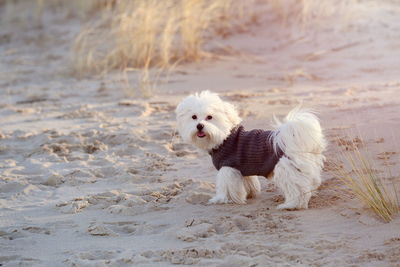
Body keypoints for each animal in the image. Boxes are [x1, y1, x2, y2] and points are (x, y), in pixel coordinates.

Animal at [177, 91, 326, 210]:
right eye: (194, 117)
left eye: (209, 117)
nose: (199, 126)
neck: (225, 137)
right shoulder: (242, 169)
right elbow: (248, 182)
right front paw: (250, 194)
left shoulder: (227, 168)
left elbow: (225, 187)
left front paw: (222, 199)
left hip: (287, 169)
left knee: (297, 190)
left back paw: (291, 205)